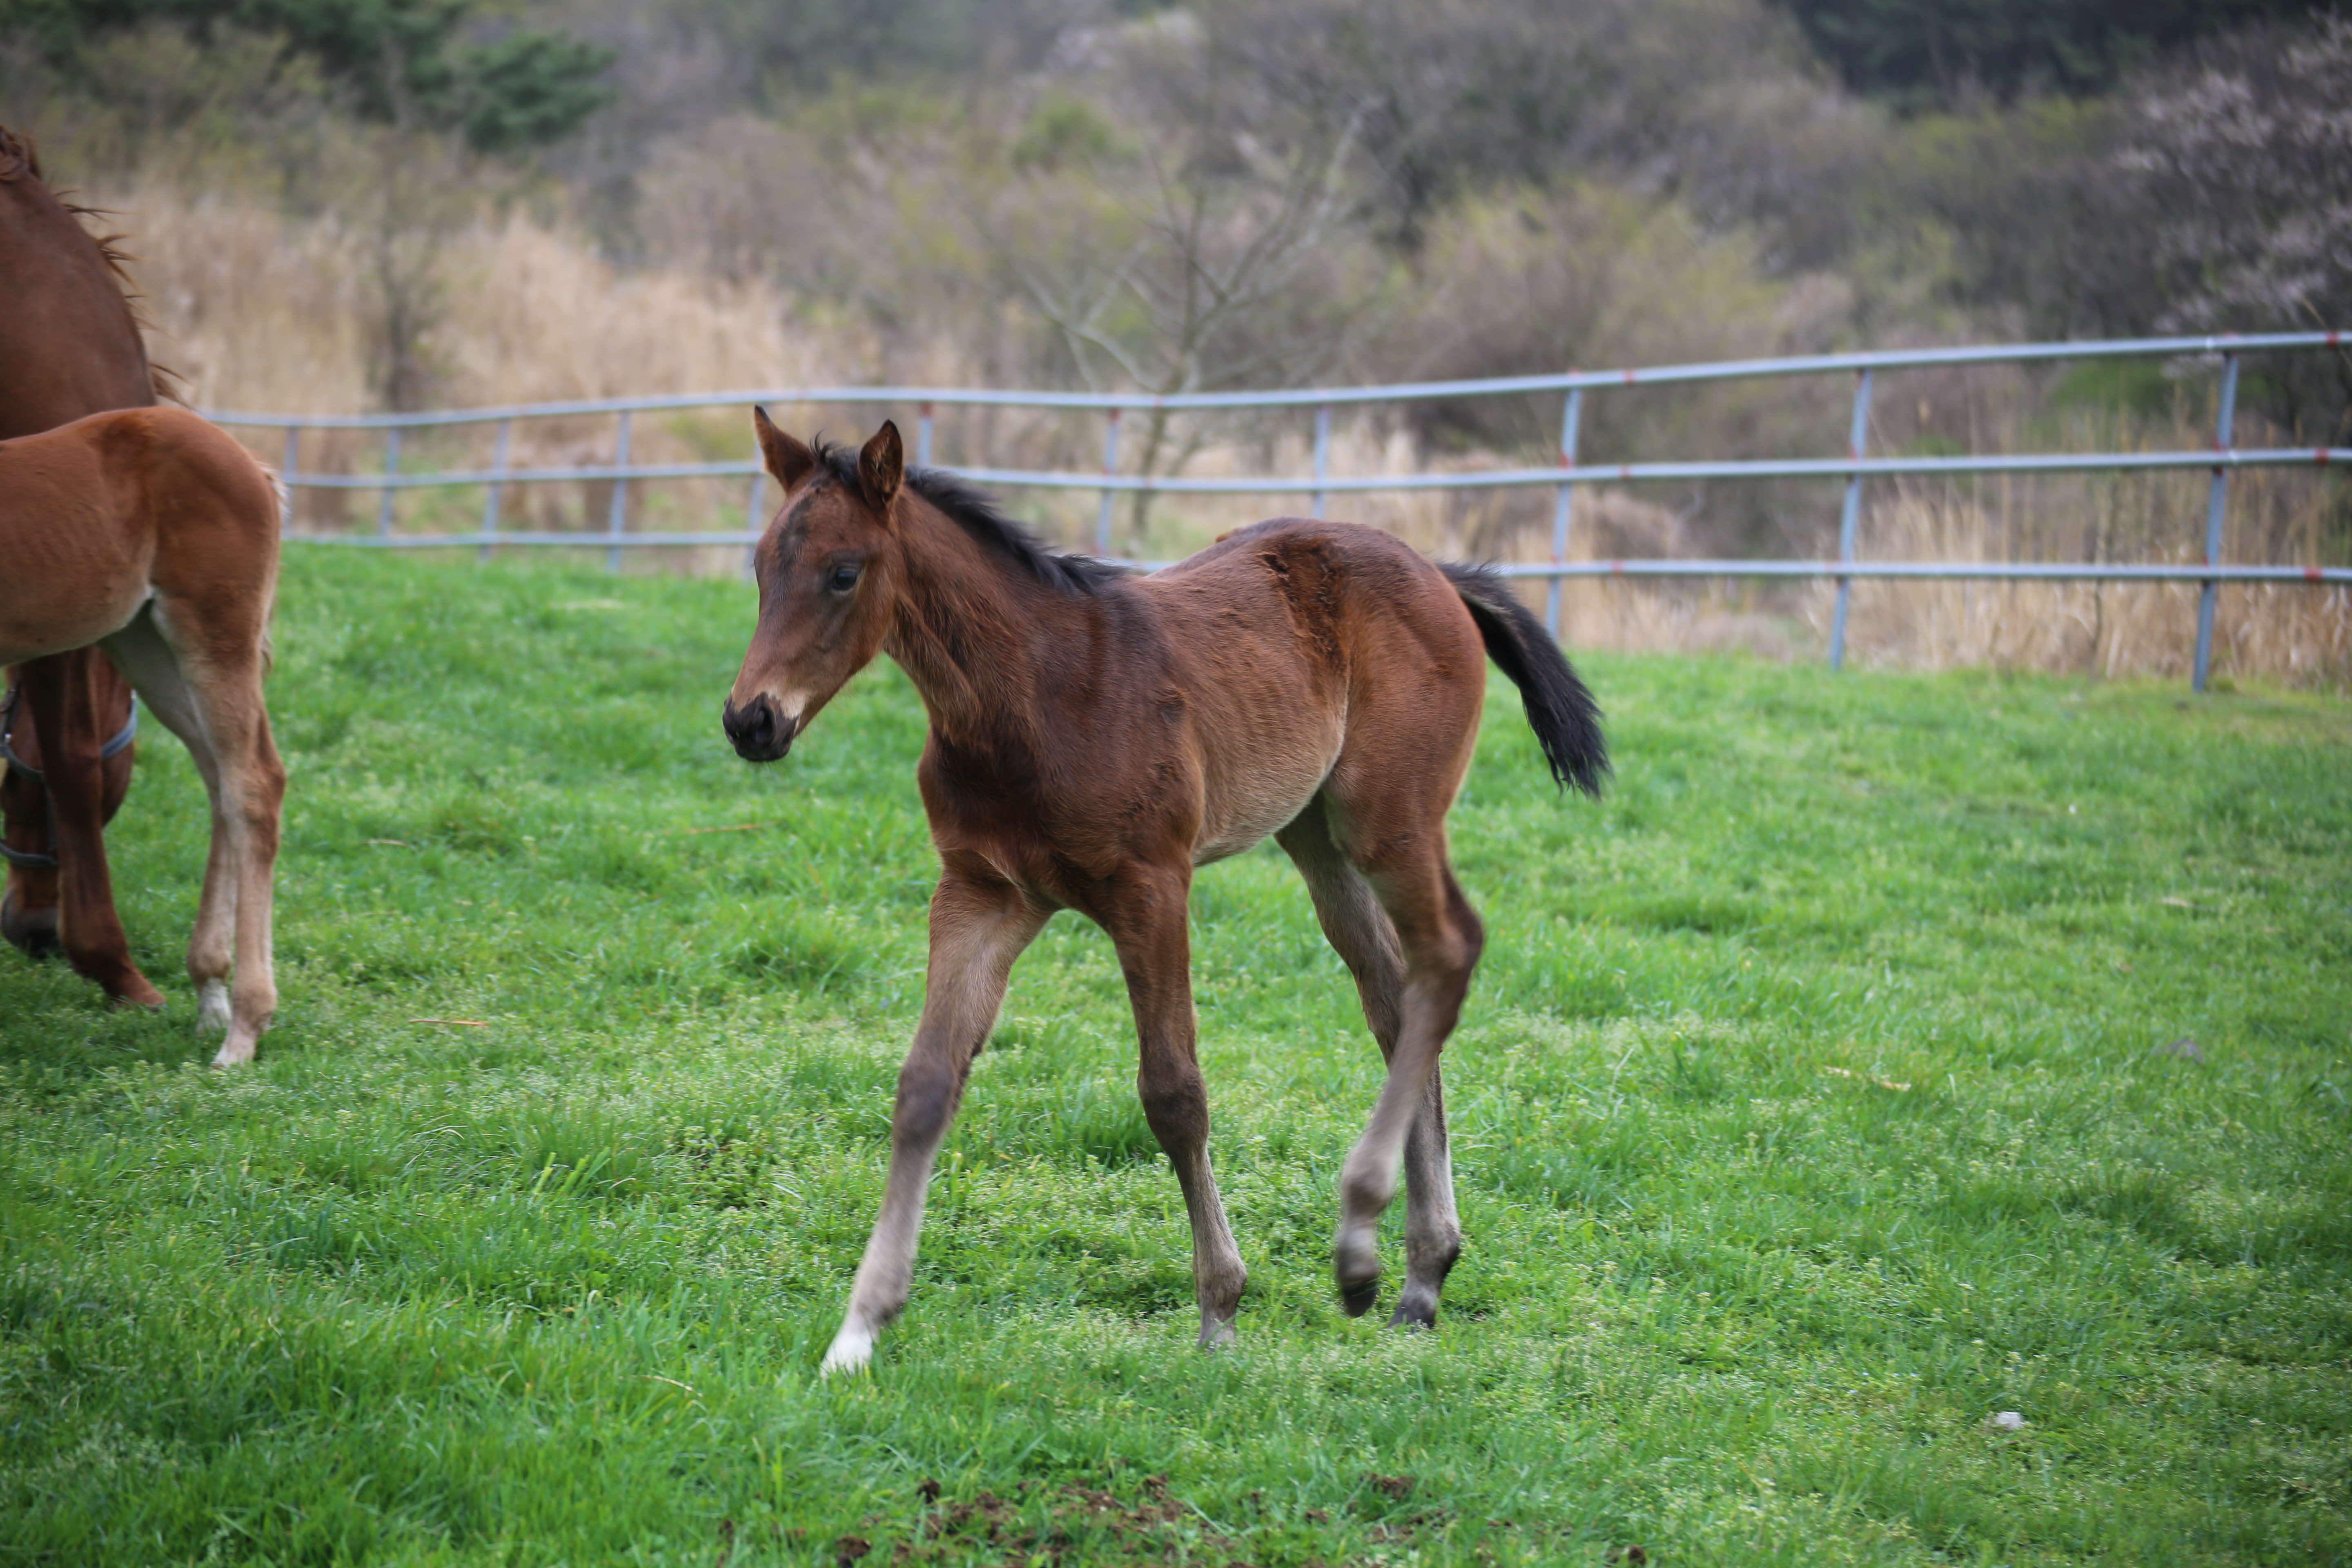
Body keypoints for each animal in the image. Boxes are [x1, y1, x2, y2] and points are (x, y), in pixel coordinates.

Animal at [0, 404, 287, 1067]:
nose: (26, 934)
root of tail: (249, 462)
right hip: (143, 641)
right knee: (219, 777)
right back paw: (210, 993)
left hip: (212, 631)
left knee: (254, 783)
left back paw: (243, 1029)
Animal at [715, 411, 1599, 1363]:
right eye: (761, 566)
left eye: (844, 573)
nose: (751, 720)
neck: (1036, 696)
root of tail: (1439, 574)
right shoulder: (982, 895)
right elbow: (924, 1086)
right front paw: (859, 1330)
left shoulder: (1152, 888)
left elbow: (1174, 1093)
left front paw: (1219, 1312)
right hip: (1314, 833)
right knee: (1394, 996)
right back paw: (1418, 1276)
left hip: (1389, 819)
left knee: (1448, 954)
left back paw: (1367, 1245)